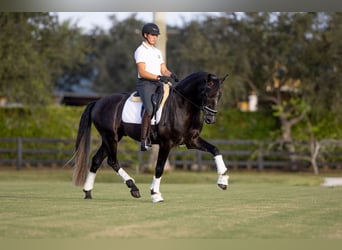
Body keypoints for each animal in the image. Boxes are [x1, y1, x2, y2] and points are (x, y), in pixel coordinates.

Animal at [73, 71, 231, 202]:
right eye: (205, 92)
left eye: (220, 94)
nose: (210, 119)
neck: (182, 106)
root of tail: (98, 102)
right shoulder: (166, 143)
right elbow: (159, 167)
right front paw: (155, 194)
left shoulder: (192, 141)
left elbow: (215, 150)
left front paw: (223, 180)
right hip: (111, 137)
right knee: (112, 161)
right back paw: (133, 187)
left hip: (112, 138)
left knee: (97, 160)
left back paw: (88, 192)